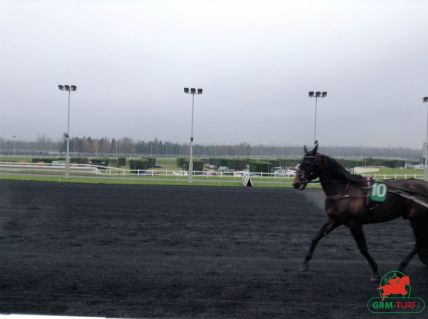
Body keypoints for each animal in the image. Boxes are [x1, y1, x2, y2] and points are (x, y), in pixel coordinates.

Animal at [292, 144, 428, 282]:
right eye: (301, 162)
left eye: (308, 163)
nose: (296, 183)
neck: (343, 191)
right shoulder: (334, 220)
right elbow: (316, 238)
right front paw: (304, 264)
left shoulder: (355, 224)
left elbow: (363, 248)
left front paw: (375, 271)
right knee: (420, 242)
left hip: (416, 220)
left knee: (419, 243)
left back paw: (401, 267)